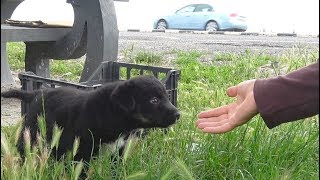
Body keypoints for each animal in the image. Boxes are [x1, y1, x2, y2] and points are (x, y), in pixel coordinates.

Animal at [0, 75, 180, 162]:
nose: (178, 115)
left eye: (166, 96)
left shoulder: (119, 151)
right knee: (23, 149)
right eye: (154, 100)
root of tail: (36, 93)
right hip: (31, 133)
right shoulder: (82, 152)